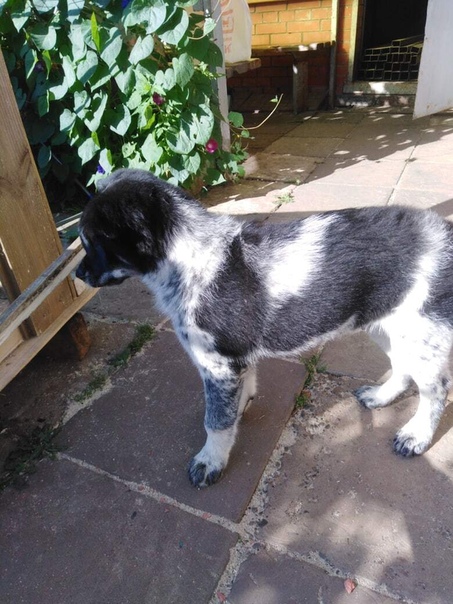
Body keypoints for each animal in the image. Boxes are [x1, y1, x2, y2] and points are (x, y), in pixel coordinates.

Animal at [76, 168, 453, 487]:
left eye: (92, 241)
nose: (77, 275)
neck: (188, 258)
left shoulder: (217, 364)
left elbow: (216, 420)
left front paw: (211, 460)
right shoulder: (235, 360)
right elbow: (241, 392)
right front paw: (240, 408)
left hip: (421, 330)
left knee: (435, 389)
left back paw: (416, 435)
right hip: (389, 325)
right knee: (403, 369)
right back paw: (380, 396)